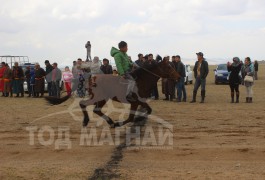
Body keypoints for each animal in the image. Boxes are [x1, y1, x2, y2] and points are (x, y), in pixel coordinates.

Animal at [45, 60, 179, 128]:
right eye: (168, 67)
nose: (178, 76)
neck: (142, 80)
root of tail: (91, 77)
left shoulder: (140, 101)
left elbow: (148, 110)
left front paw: (138, 118)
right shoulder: (135, 101)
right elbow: (132, 117)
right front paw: (123, 122)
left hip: (101, 98)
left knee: (94, 109)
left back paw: (108, 122)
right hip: (100, 97)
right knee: (85, 104)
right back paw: (89, 121)